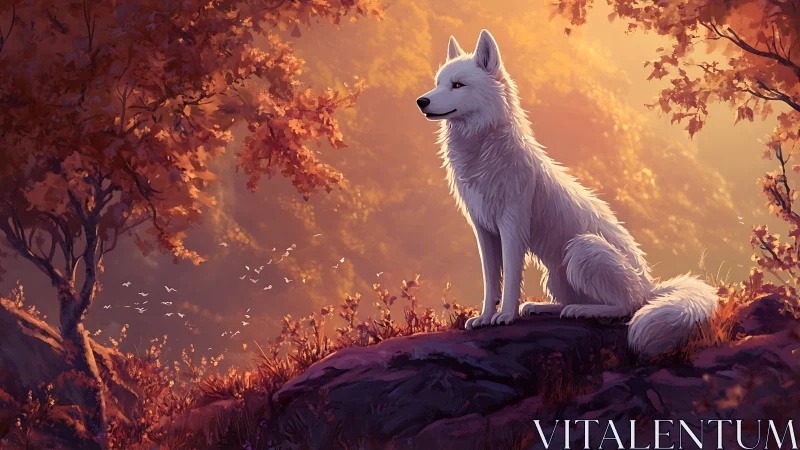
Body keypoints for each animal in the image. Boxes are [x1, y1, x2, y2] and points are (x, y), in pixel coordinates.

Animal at [415, 29, 718, 357]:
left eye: (458, 85)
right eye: (438, 82)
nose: (421, 101)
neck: (482, 149)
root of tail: (650, 285)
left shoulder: (512, 226)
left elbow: (511, 279)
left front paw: (505, 316)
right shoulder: (483, 229)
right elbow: (491, 281)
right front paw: (484, 317)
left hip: (582, 248)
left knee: (627, 306)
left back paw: (582, 310)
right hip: (555, 273)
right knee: (575, 301)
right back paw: (542, 308)